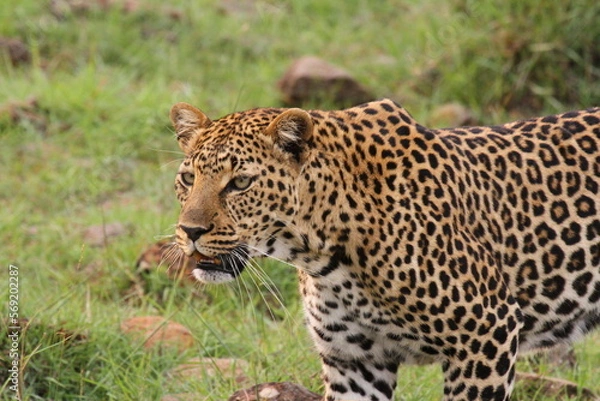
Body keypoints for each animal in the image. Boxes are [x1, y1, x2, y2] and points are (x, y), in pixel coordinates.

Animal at [166, 97, 596, 400]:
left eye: (240, 183)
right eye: (188, 179)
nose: (190, 230)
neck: (324, 255)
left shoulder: (487, 336)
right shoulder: (354, 362)